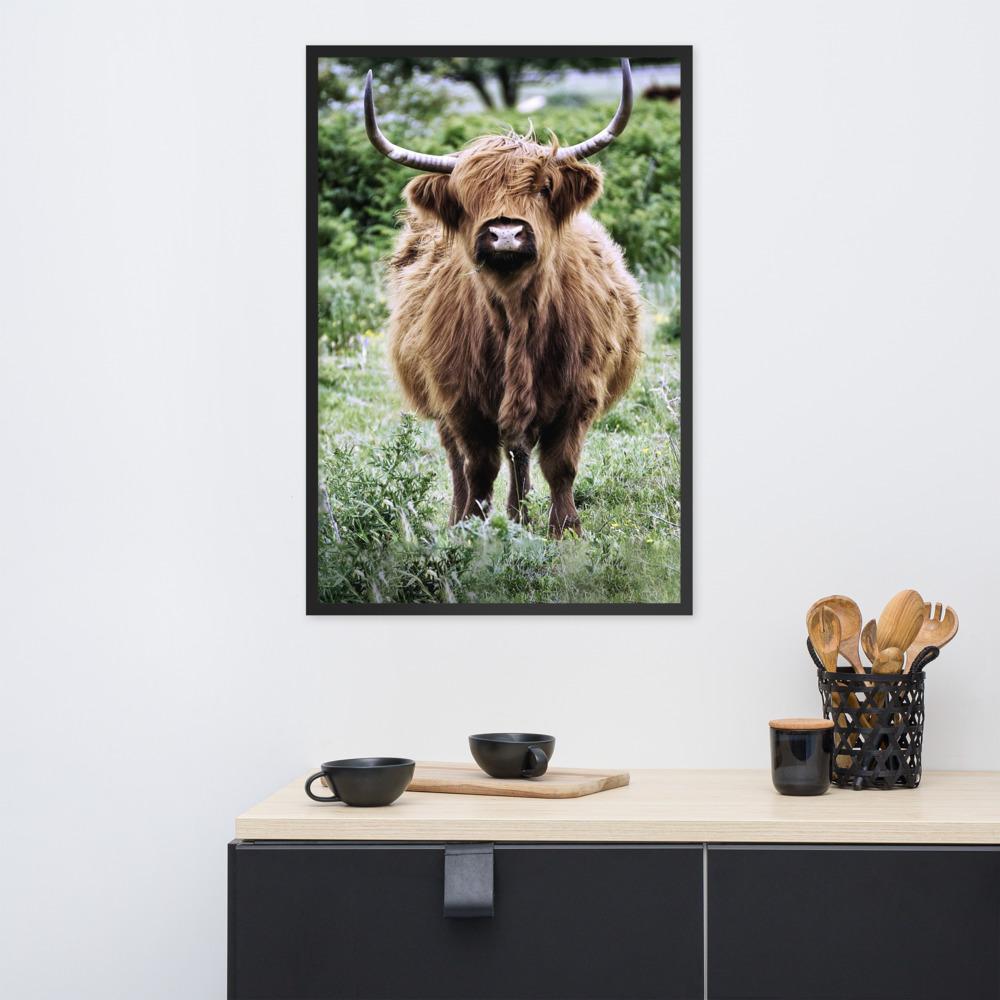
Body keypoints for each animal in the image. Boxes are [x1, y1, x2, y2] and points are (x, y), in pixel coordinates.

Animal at [364, 60, 642, 538]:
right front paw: (472, 530)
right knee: (462, 460)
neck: (517, 315)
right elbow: (478, 467)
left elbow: (560, 465)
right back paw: (469, 517)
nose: (506, 233)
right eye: (466, 196)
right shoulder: (459, 400)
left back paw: (519, 515)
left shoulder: (579, 394)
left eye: (544, 188)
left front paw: (565, 531)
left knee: (519, 451)